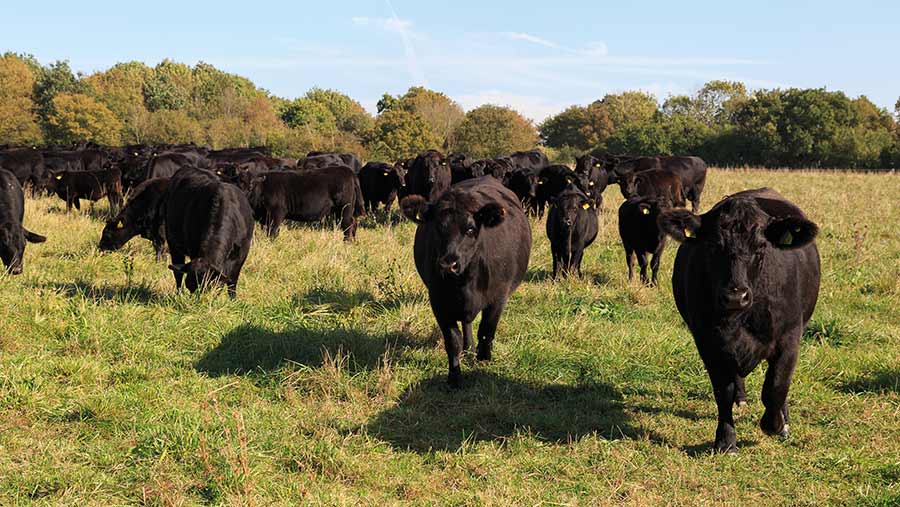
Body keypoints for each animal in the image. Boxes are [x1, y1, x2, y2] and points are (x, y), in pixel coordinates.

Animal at [400, 177, 532, 386]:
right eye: (437, 228)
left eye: (470, 229)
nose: (448, 265)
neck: (465, 283)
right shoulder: (438, 301)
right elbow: (452, 341)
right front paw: (454, 378)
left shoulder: (498, 297)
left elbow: (486, 331)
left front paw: (484, 360)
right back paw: (468, 347)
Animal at [656, 189, 820, 454]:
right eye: (712, 246)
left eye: (761, 246)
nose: (735, 296)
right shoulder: (708, 343)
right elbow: (723, 391)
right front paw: (726, 440)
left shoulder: (789, 338)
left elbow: (776, 387)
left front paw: (776, 424)